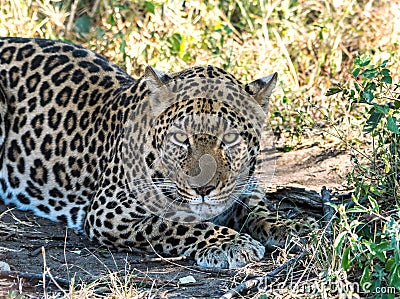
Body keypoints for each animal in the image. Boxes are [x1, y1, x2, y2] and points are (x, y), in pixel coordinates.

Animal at [0, 37, 312, 270]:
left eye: (230, 138)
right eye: (181, 138)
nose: (204, 189)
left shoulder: (245, 188)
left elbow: (260, 211)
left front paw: (295, 228)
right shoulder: (109, 211)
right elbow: (178, 223)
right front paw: (231, 244)